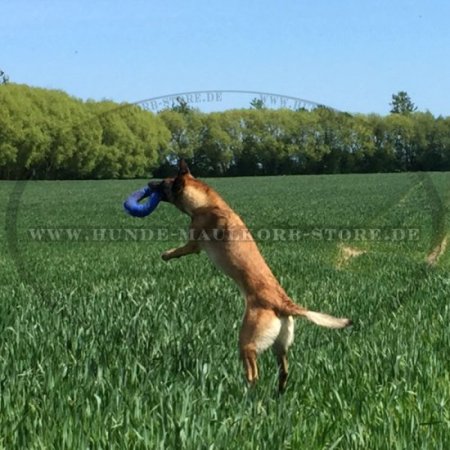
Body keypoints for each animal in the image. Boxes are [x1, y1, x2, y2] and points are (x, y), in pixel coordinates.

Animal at [150, 160, 352, 392]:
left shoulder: (193, 243)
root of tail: (284, 304)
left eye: (163, 182)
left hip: (247, 339)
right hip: (280, 345)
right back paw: (278, 393)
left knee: (253, 373)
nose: (148, 183)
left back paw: (246, 391)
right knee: (284, 371)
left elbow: (180, 249)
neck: (207, 203)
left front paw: (166, 254)